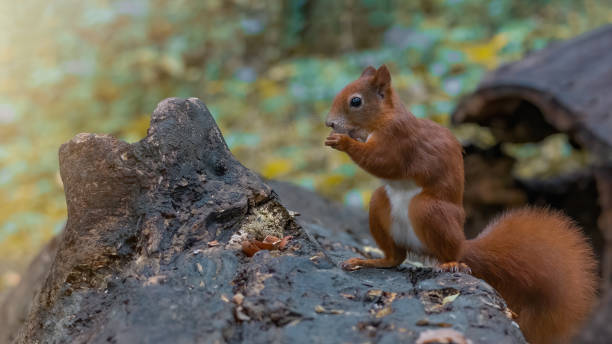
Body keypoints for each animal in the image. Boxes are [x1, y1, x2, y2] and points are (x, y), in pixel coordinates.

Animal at [326, 65, 596, 344]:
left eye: (356, 101)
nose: (330, 123)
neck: (384, 117)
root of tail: (463, 245)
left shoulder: (399, 139)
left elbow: (382, 161)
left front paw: (343, 141)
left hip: (429, 211)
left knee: (444, 251)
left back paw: (450, 264)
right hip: (380, 203)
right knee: (395, 258)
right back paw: (368, 262)